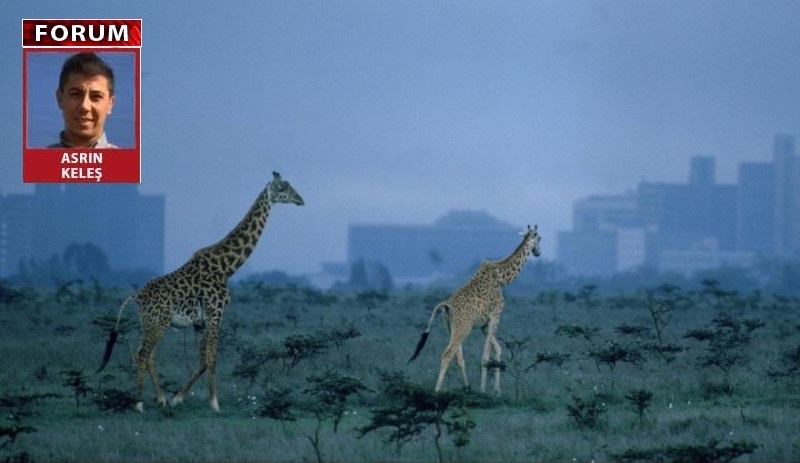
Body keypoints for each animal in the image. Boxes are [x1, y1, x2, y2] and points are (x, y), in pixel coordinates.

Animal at [97, 172, 304, 412]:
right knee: (143, 354)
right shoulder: (216, 314)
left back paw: (160, 398)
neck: (226, 267)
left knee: (147, 355)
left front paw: (177, 398)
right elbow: (212, 359)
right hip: (158, 322)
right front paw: (214, 403)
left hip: (149, 323)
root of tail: (137, 295)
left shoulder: (200, 322)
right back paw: (139, 404)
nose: (300, 199)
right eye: (283, 188)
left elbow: (203, 359)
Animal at [410, 225, 540, 396]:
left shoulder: (484, 324)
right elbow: (486, 355)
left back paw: (467, 388)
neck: (502, 278)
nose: (538, 252)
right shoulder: (495, 316)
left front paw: (497, 390)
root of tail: (446, 305)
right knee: (447, 355)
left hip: (451, 328)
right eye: (540, 238)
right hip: (463, 328)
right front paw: (484, 389)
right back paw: (437, 391)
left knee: (458, 357)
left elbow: (497, 349)